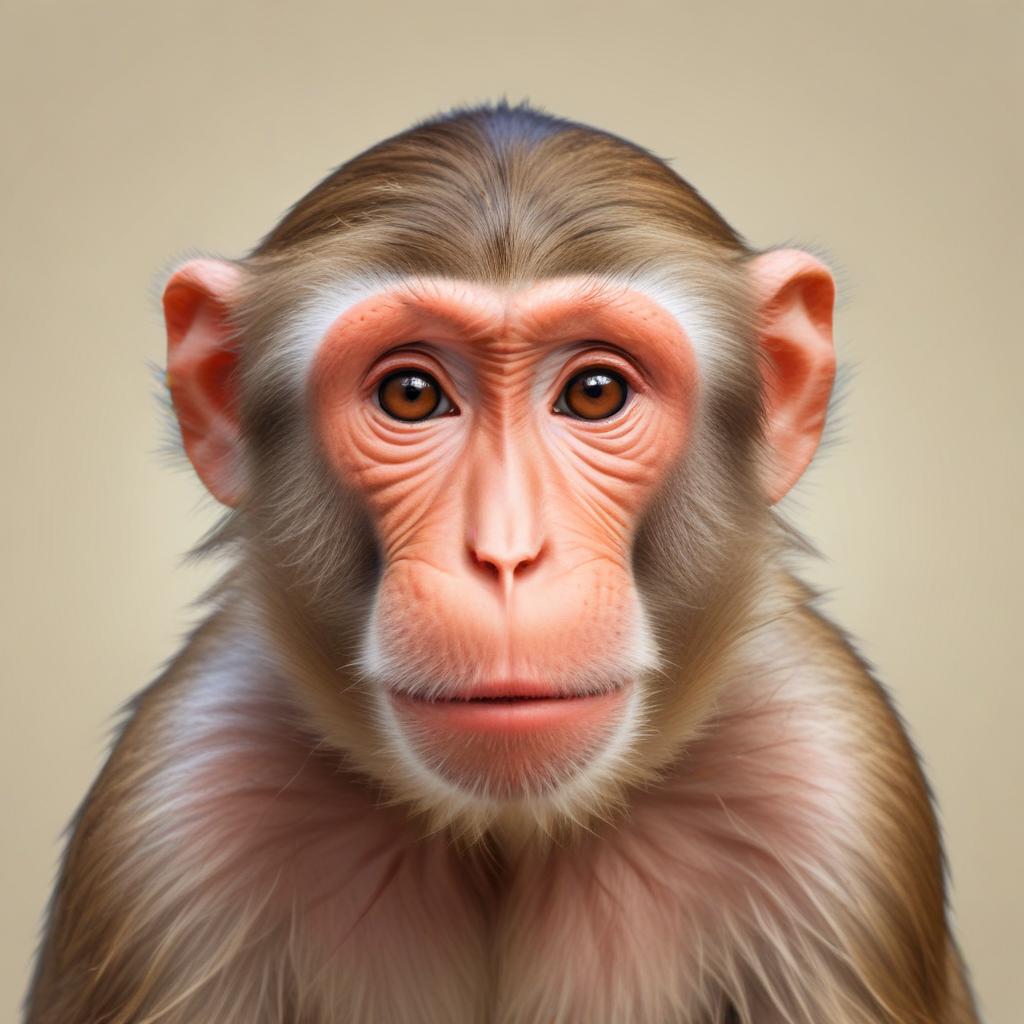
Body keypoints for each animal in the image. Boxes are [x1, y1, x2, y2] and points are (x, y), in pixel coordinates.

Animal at [26, 102, 980, 1024]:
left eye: (594, 392)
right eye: (411, 395)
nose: (507, 553)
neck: (508, 836)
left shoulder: (834, 788)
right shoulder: (170, 814)